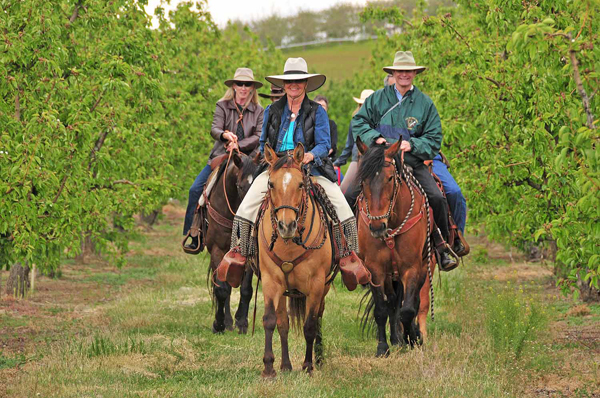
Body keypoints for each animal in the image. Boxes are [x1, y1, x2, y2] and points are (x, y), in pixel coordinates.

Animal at [205, 151, 258, 334]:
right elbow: (222, 289)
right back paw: (226, 322)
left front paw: (242, 322)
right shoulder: (217, 250)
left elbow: (246, 289)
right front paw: (219, 324)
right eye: (240, 187)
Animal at [256, 143, 336, 376]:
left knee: (318, 317)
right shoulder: (271, 280)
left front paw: (308, 366)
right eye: (271, 184)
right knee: (283, 321)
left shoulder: (316, 284)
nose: (286, 226)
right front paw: (269, 368)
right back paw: (285, 365)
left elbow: (310, 325)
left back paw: (318, 358)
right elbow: (271, 320)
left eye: (301, 184)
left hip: (324, 287)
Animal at [354, 138, 434, 356]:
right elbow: (382, 309)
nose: (376, 227)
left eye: (390, 178)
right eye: (362, 180)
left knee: (413, 302)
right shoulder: (375, 269)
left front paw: (413, 338)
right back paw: (396, 338)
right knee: (391, 301)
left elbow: (408, 309)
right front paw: (383, 347)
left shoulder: (412, 267)